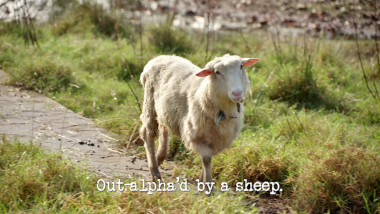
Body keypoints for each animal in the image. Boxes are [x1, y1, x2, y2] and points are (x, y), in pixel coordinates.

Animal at [138, 53, 260, 182]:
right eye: (217, 72)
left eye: (241, 66)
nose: (237, 93)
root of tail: (158, 57)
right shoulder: (197, 135)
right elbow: (206, 160)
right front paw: (207, 183)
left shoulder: (215, 137)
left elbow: (207, 160)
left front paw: (202, 179)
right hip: (149, 103)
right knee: (148, 134)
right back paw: (154, 171)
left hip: (164, 110)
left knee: (163, 127)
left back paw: (159, 157)